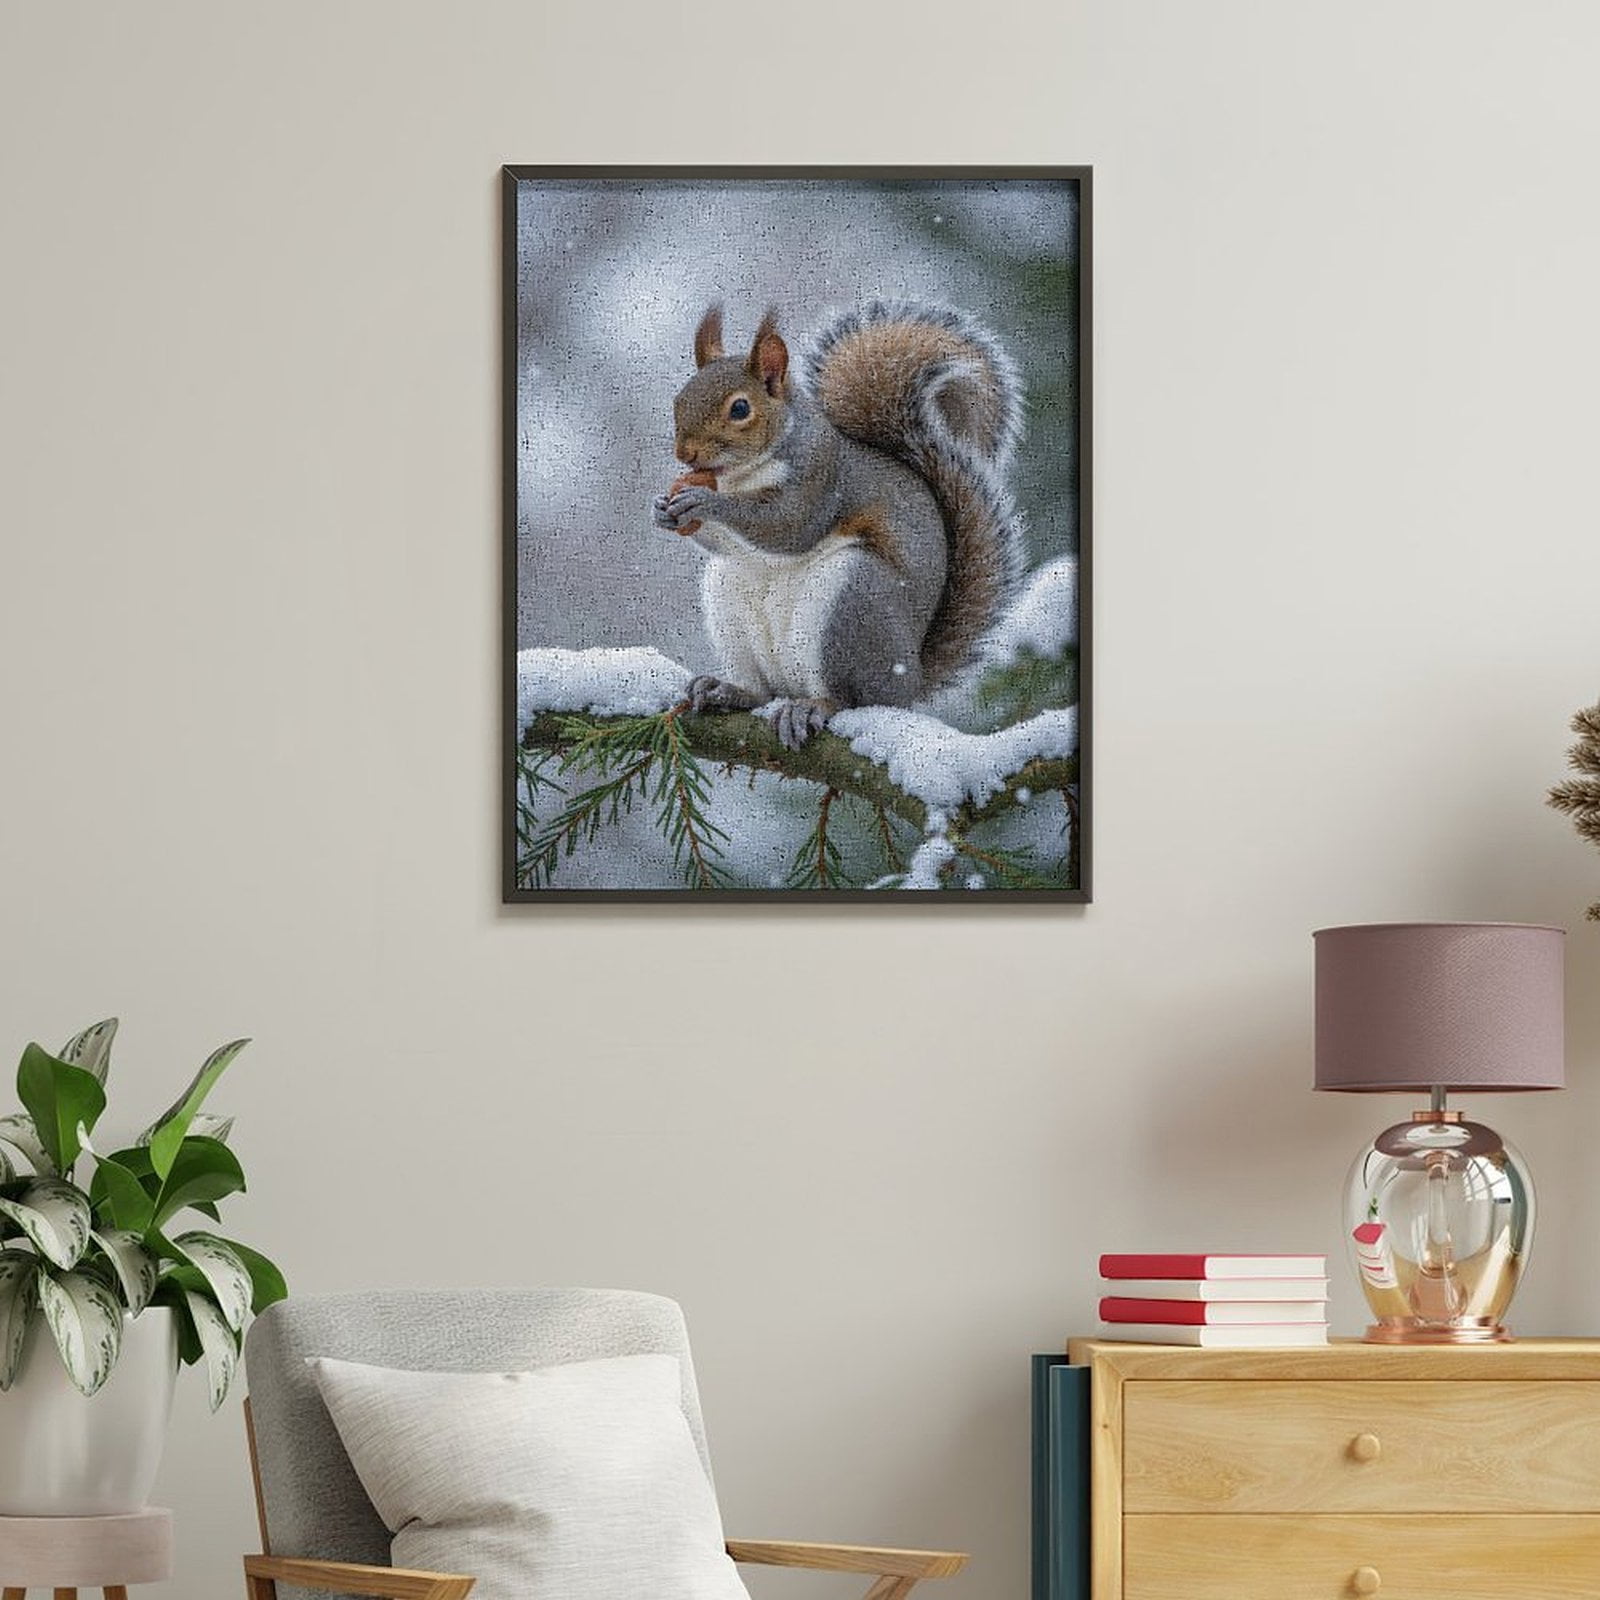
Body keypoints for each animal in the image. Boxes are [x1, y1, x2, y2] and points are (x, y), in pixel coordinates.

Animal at [651, 298, 1025, 750]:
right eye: (679, 398)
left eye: (740, 408)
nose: (685, 454)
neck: (742, 476)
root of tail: (911, 685)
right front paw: (661, 508)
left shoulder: (820, 482)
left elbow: (786, 527)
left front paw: (706, 503)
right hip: (726, 595)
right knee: (762, 692)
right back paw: (728, 689)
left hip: (850, 598)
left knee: (849, 698)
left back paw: (811, 708)